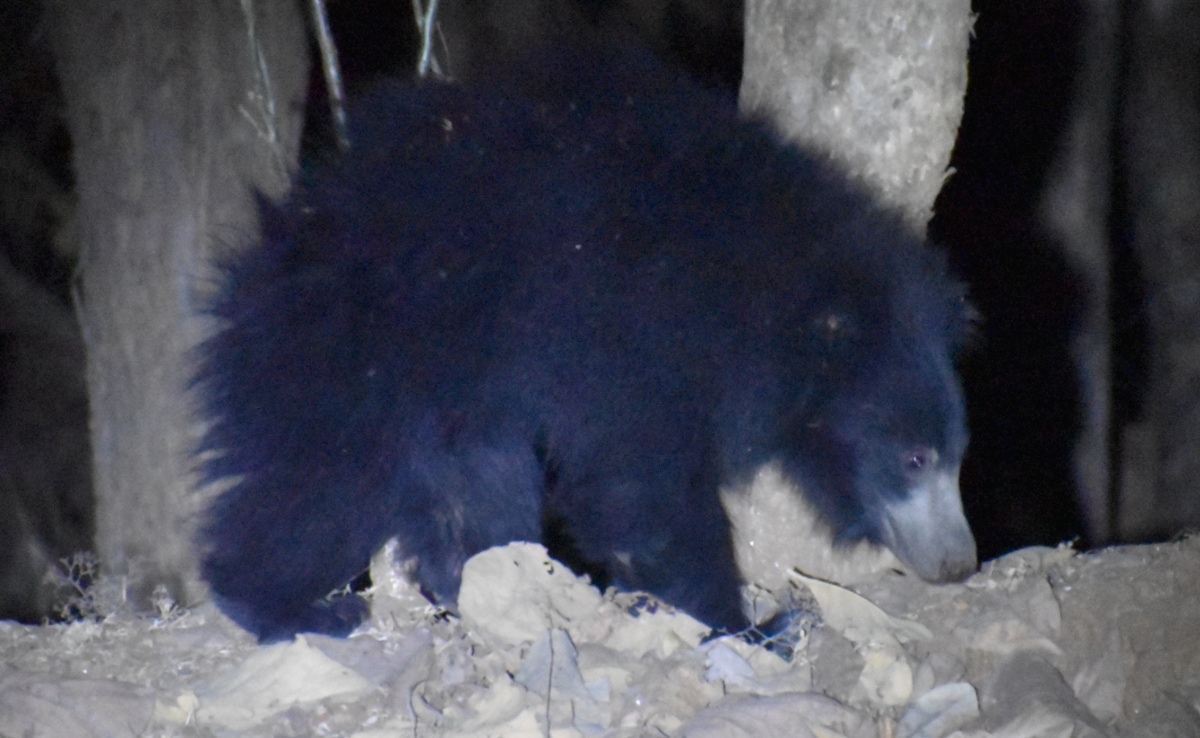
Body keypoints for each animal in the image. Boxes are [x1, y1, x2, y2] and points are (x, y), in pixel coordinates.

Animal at [194, 42, 977, 643]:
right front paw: (753, 625)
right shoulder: (630, 329)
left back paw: (471, 587)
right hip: (359, 351)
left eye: (958, 455)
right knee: (321, 483)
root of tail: (269, 255)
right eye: (913, 458)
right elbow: (637, 483)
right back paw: (289, 606)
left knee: (472, 482)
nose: (959, 563)